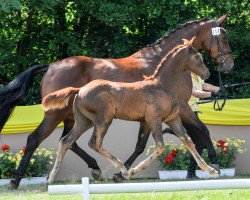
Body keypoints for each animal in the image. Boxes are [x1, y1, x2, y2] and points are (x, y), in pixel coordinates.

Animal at [43, 38, 219, 184]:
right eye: (198, 57)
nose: (207, 73)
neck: (163, 86)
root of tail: (79, 90)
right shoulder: (154, 119)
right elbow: (160, 145)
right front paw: (131, 171)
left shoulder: (172, 119)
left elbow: (188, 141)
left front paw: (210, 169)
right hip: (103, 119)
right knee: (94, 143)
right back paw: (121, 168)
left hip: (84, 121)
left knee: (66, 141)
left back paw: (51, 177)